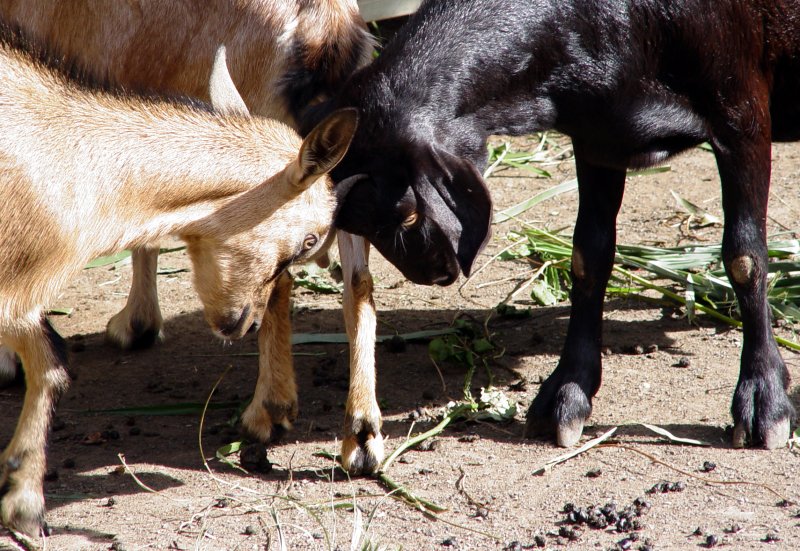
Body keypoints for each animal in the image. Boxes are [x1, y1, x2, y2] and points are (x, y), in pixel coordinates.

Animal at [0, 0, 388, 474]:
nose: (239, 323)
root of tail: (323, 30)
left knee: (289, 285)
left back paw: (269, 410)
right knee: (358, 282)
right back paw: (361, 437)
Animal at [324, 0, 800, 448]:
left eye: (406, 211)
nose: (431, 273)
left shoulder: (741, 110)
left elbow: (744, 258)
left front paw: (763, 399)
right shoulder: (599, 137)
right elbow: (589, 257)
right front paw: (567, 394)